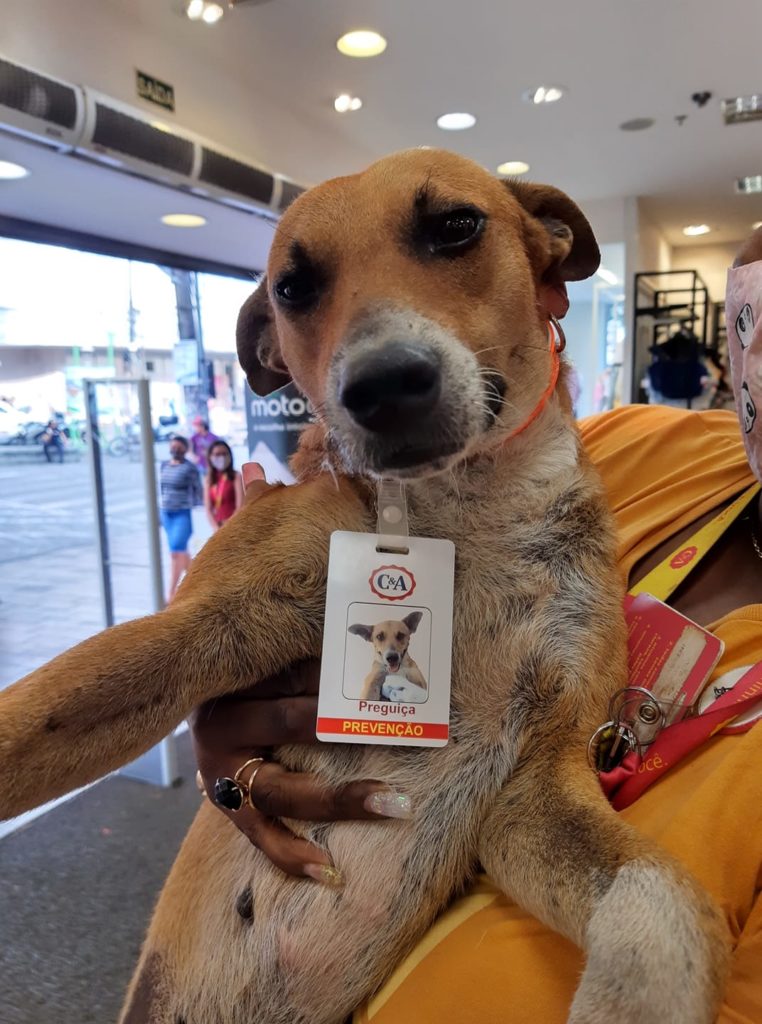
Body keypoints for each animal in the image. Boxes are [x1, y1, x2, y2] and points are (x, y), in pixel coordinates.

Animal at [0, 149, 729, 1024]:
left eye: (456, 225)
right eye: (292, 287)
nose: (384, 385)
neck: (462, 515)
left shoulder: (539, 778)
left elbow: (663, 894)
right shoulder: (196, 630)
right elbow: (24, 725)